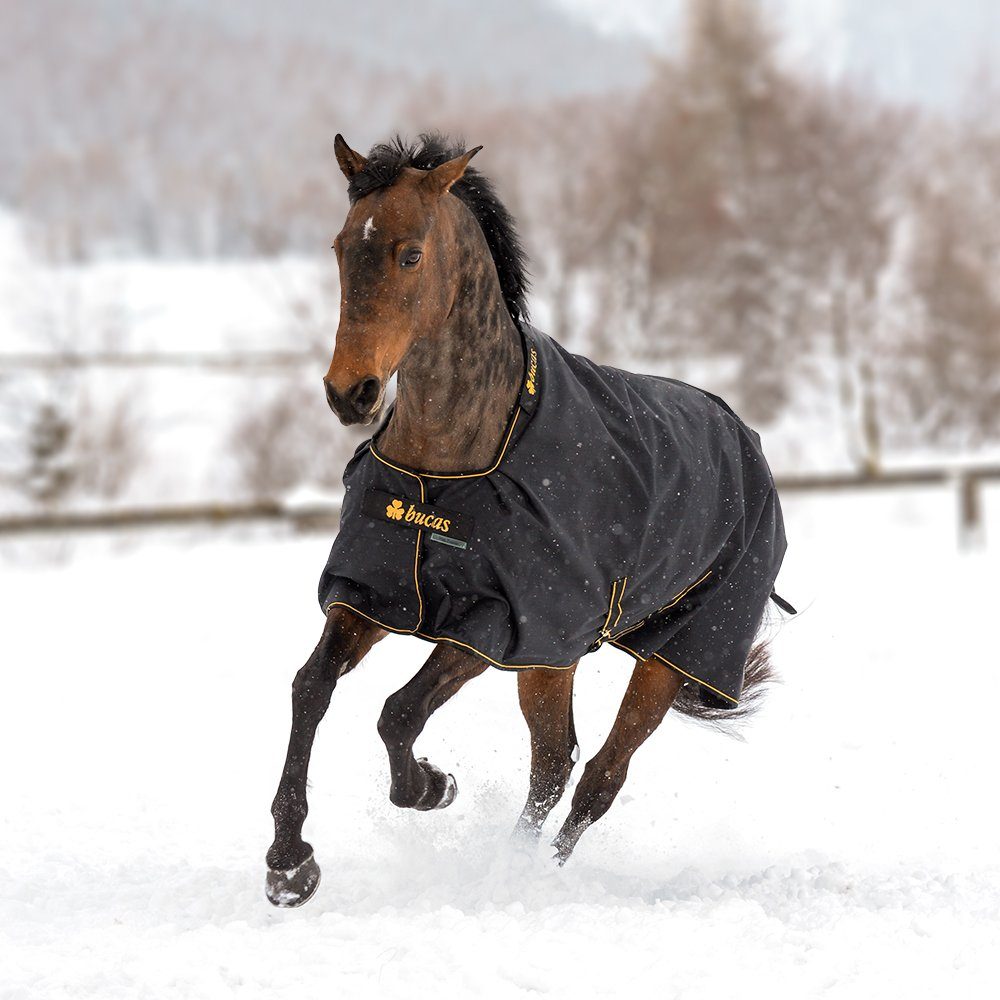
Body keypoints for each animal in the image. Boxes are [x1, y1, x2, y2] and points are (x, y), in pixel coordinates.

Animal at [265, 133, 789, 907]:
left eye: (409, 254)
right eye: (340, 246)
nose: (348, 392)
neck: (450, 467)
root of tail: (743, 437)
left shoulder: (496, 622)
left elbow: (398, 711)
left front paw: (433, 787)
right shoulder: (376, 595)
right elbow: (311, 689)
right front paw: (289, 863)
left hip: (665, 655)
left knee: (598, 776)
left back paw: (524, 879)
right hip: (553, 659)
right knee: (554, 760)